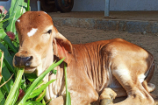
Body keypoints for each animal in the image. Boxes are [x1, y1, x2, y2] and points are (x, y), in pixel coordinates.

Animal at [13, 11, 156, 104]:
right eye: (18, 30)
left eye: (48, 31)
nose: (23, 59)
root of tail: (149, 54)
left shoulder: (86, 91)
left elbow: (53, 102)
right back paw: (106, 95)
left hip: (118, 61)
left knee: (142, 97)